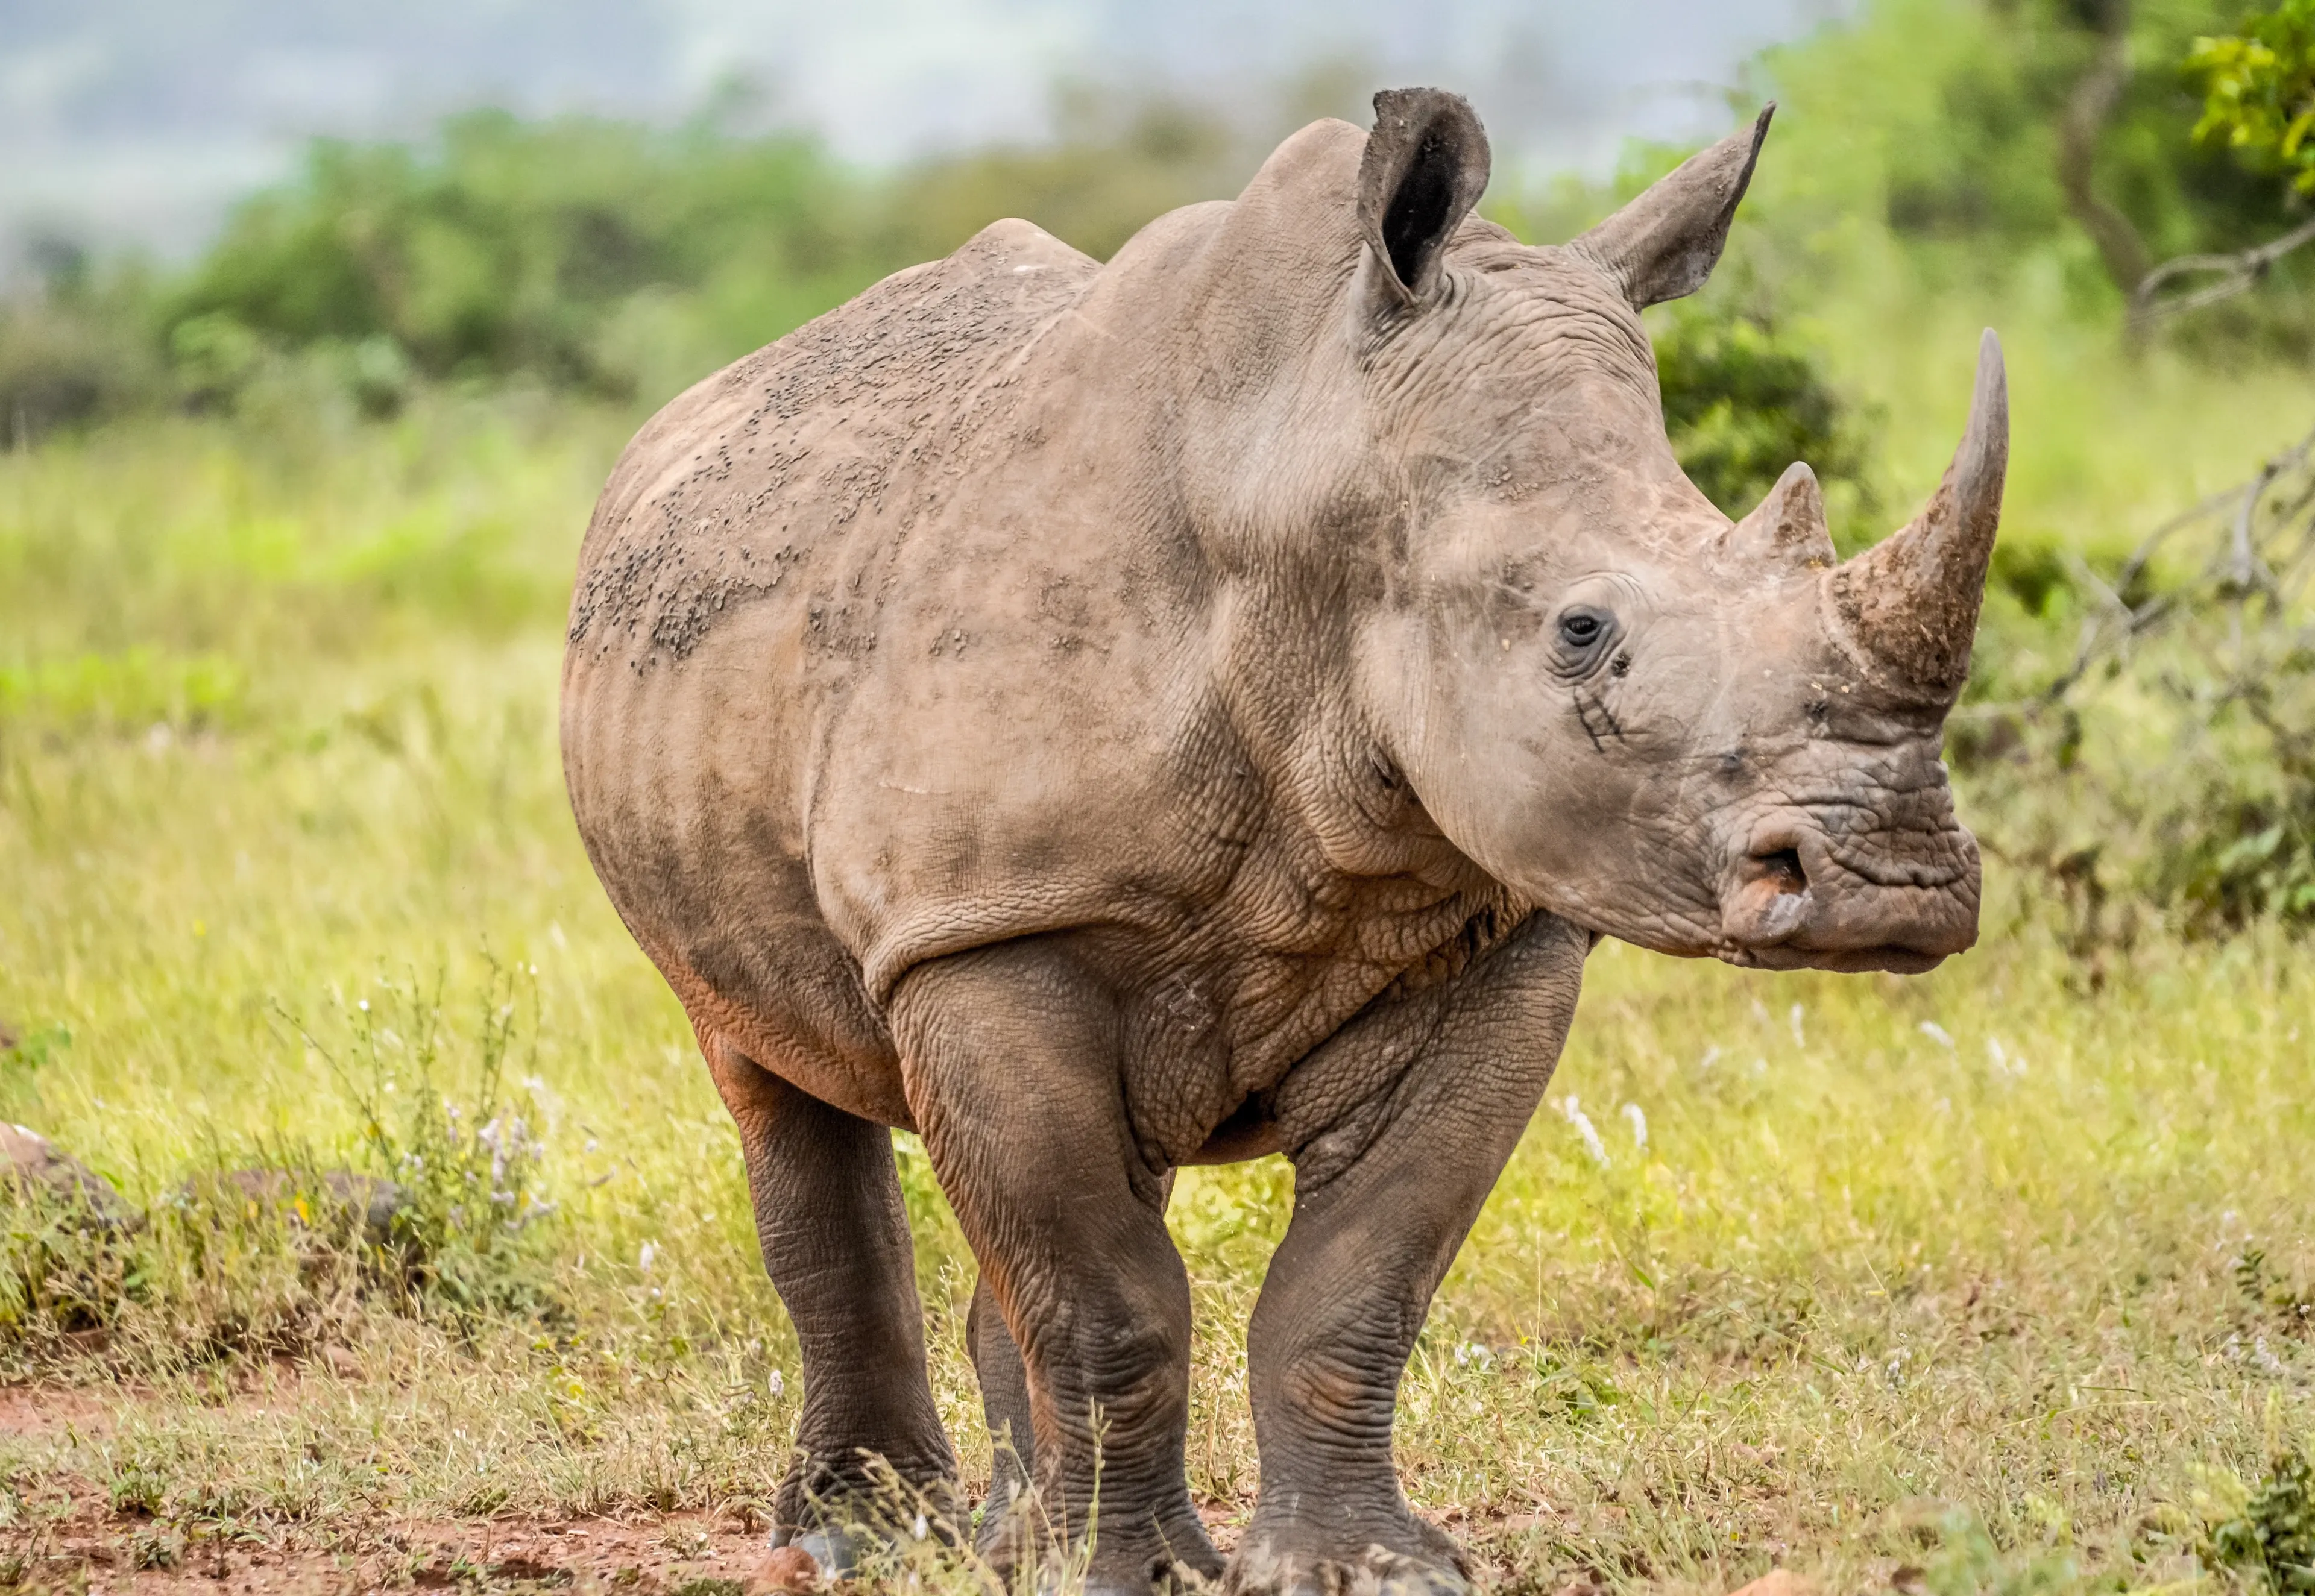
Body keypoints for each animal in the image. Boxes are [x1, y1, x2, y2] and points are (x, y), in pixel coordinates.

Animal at [562, 88, 2005, 1596]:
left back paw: (1011, 1539)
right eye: (1581, 631)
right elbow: (1108, 1297)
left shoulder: (1509, 939)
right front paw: (1126, 1577)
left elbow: (1357, 1284)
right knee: (774, 1076)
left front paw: (1362, 1569)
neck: (1315, 473)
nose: (1892, 887)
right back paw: (859, 1539)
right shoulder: (984, 921)